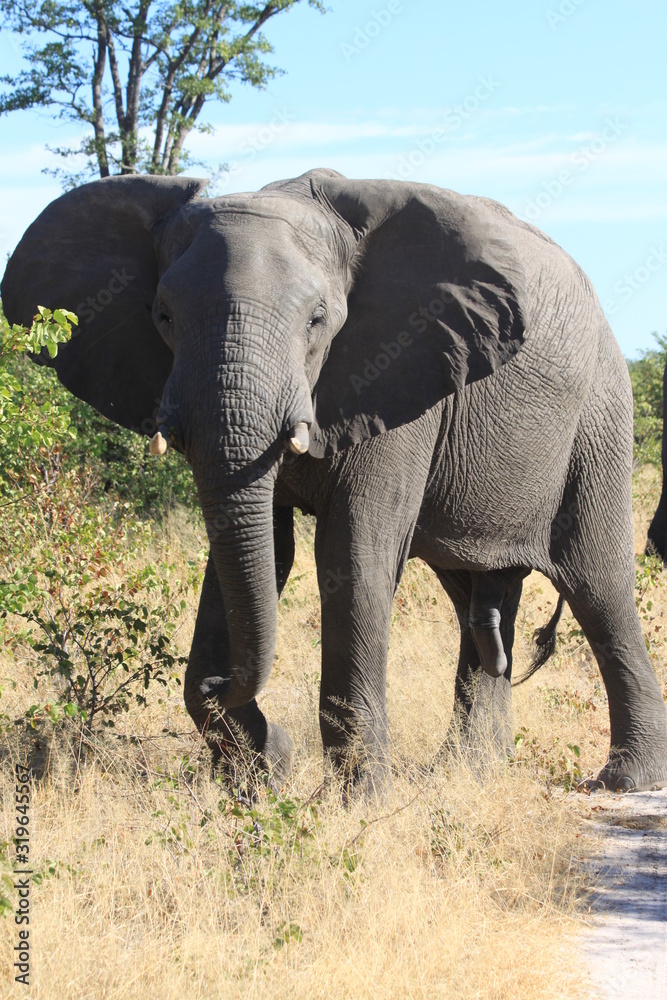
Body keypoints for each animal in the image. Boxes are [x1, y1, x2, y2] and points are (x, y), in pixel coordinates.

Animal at [1, 172, 667, 796]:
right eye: (163, 317)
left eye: (318, 319)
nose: (222, 682)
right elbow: (258, 548)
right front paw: (263, 771)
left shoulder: (401, 370)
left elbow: (352, 553)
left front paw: (357, 803)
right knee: (476, 604)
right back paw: (471, 773)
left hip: (599, 416)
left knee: (598, 583)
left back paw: (625, 780)